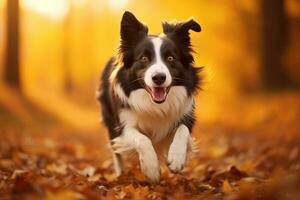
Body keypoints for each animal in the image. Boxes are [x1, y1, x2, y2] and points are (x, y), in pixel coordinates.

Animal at [98, 11, 202, 183]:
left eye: (171, 58)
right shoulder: (123, 125)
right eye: (144, 58)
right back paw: (121, 174)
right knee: (117, 153)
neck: (155, 105)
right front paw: (151, 168)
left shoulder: (186, 115)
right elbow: (142, 139)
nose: (159, 77)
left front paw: (176, 159)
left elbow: (182, 130)